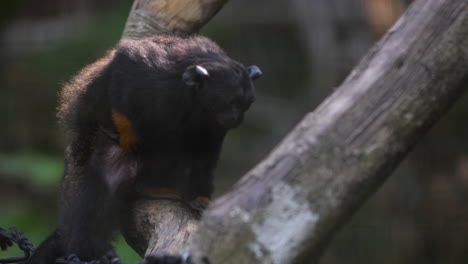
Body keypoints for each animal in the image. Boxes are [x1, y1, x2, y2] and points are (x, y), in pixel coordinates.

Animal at [28, 35, 264, 264]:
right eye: (229, 103)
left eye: (244, 105)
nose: (235, 117)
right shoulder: (150, 74)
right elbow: (122, 69)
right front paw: (126, 131)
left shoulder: (212, 124)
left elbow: (205, 153)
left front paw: (199, 196)